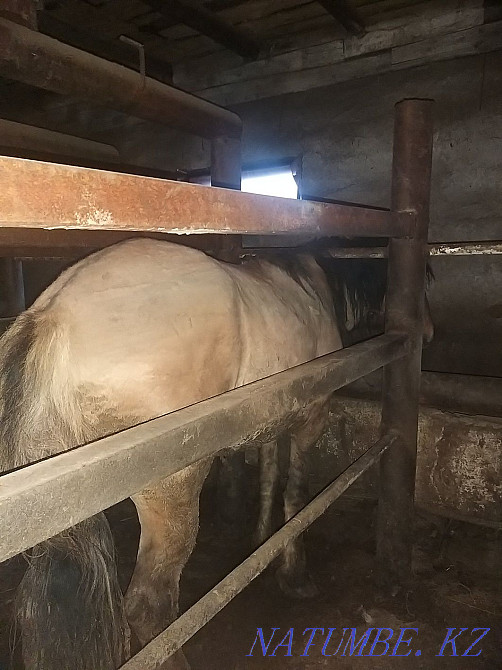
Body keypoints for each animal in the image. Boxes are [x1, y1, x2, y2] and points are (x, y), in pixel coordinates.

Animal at [0, 238, 433, 670]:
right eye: (423, 284)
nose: (427, 332)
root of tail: (53, 317)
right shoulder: (311, 418)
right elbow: (296, 495)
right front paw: (294, 575)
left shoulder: (271, 421)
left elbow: (268, 479)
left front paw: (261, 539)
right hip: (172, 493)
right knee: (149, 604)